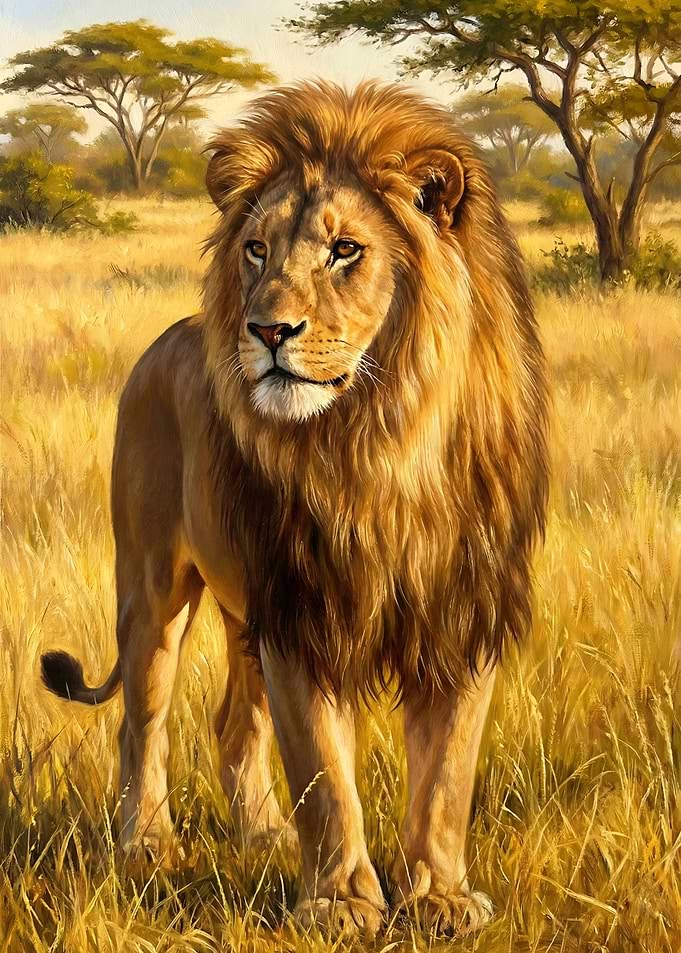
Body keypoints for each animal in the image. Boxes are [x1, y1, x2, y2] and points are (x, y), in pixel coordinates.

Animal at [40, 81, 548, 937]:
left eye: (345, 250)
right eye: (256, 250)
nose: (268, 329)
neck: (375, 444)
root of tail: (164, 340)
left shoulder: (459, 611)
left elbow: (446, 774)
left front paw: (438, 899)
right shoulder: (301, 612)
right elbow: (324, 774)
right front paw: (340, 905)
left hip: (245, 614)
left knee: (231, 724)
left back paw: (260, 833)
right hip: (154, 588)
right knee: (141, 721)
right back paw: (146, 843)